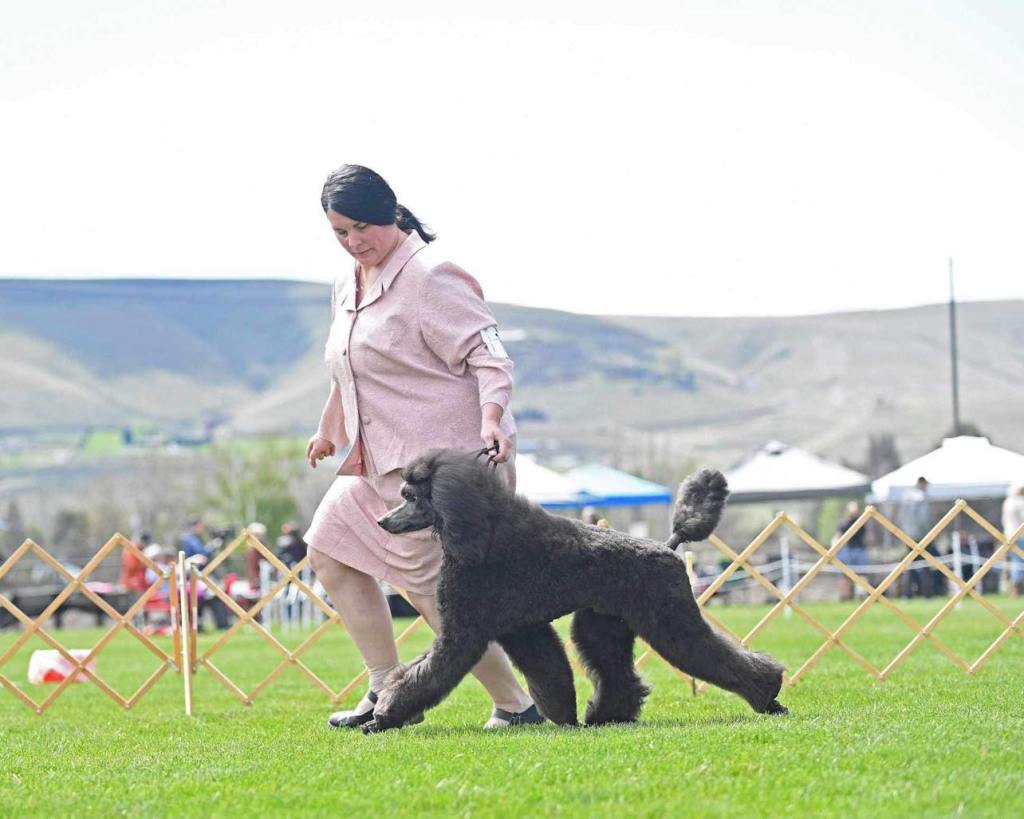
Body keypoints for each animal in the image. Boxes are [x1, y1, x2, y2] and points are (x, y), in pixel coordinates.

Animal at [363, 448, 787, 732]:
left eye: (411, 496)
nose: (382, 521)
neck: (484, 532)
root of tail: (668, 546)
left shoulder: (462, 632)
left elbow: (425, 673)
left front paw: (383, 716)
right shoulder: (520, 627)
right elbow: (548, 671)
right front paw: (562, 716)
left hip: (668, 615)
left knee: (706, 653)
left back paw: (768, 694)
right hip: (603, 623)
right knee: (615, 671)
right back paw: (607, 717)